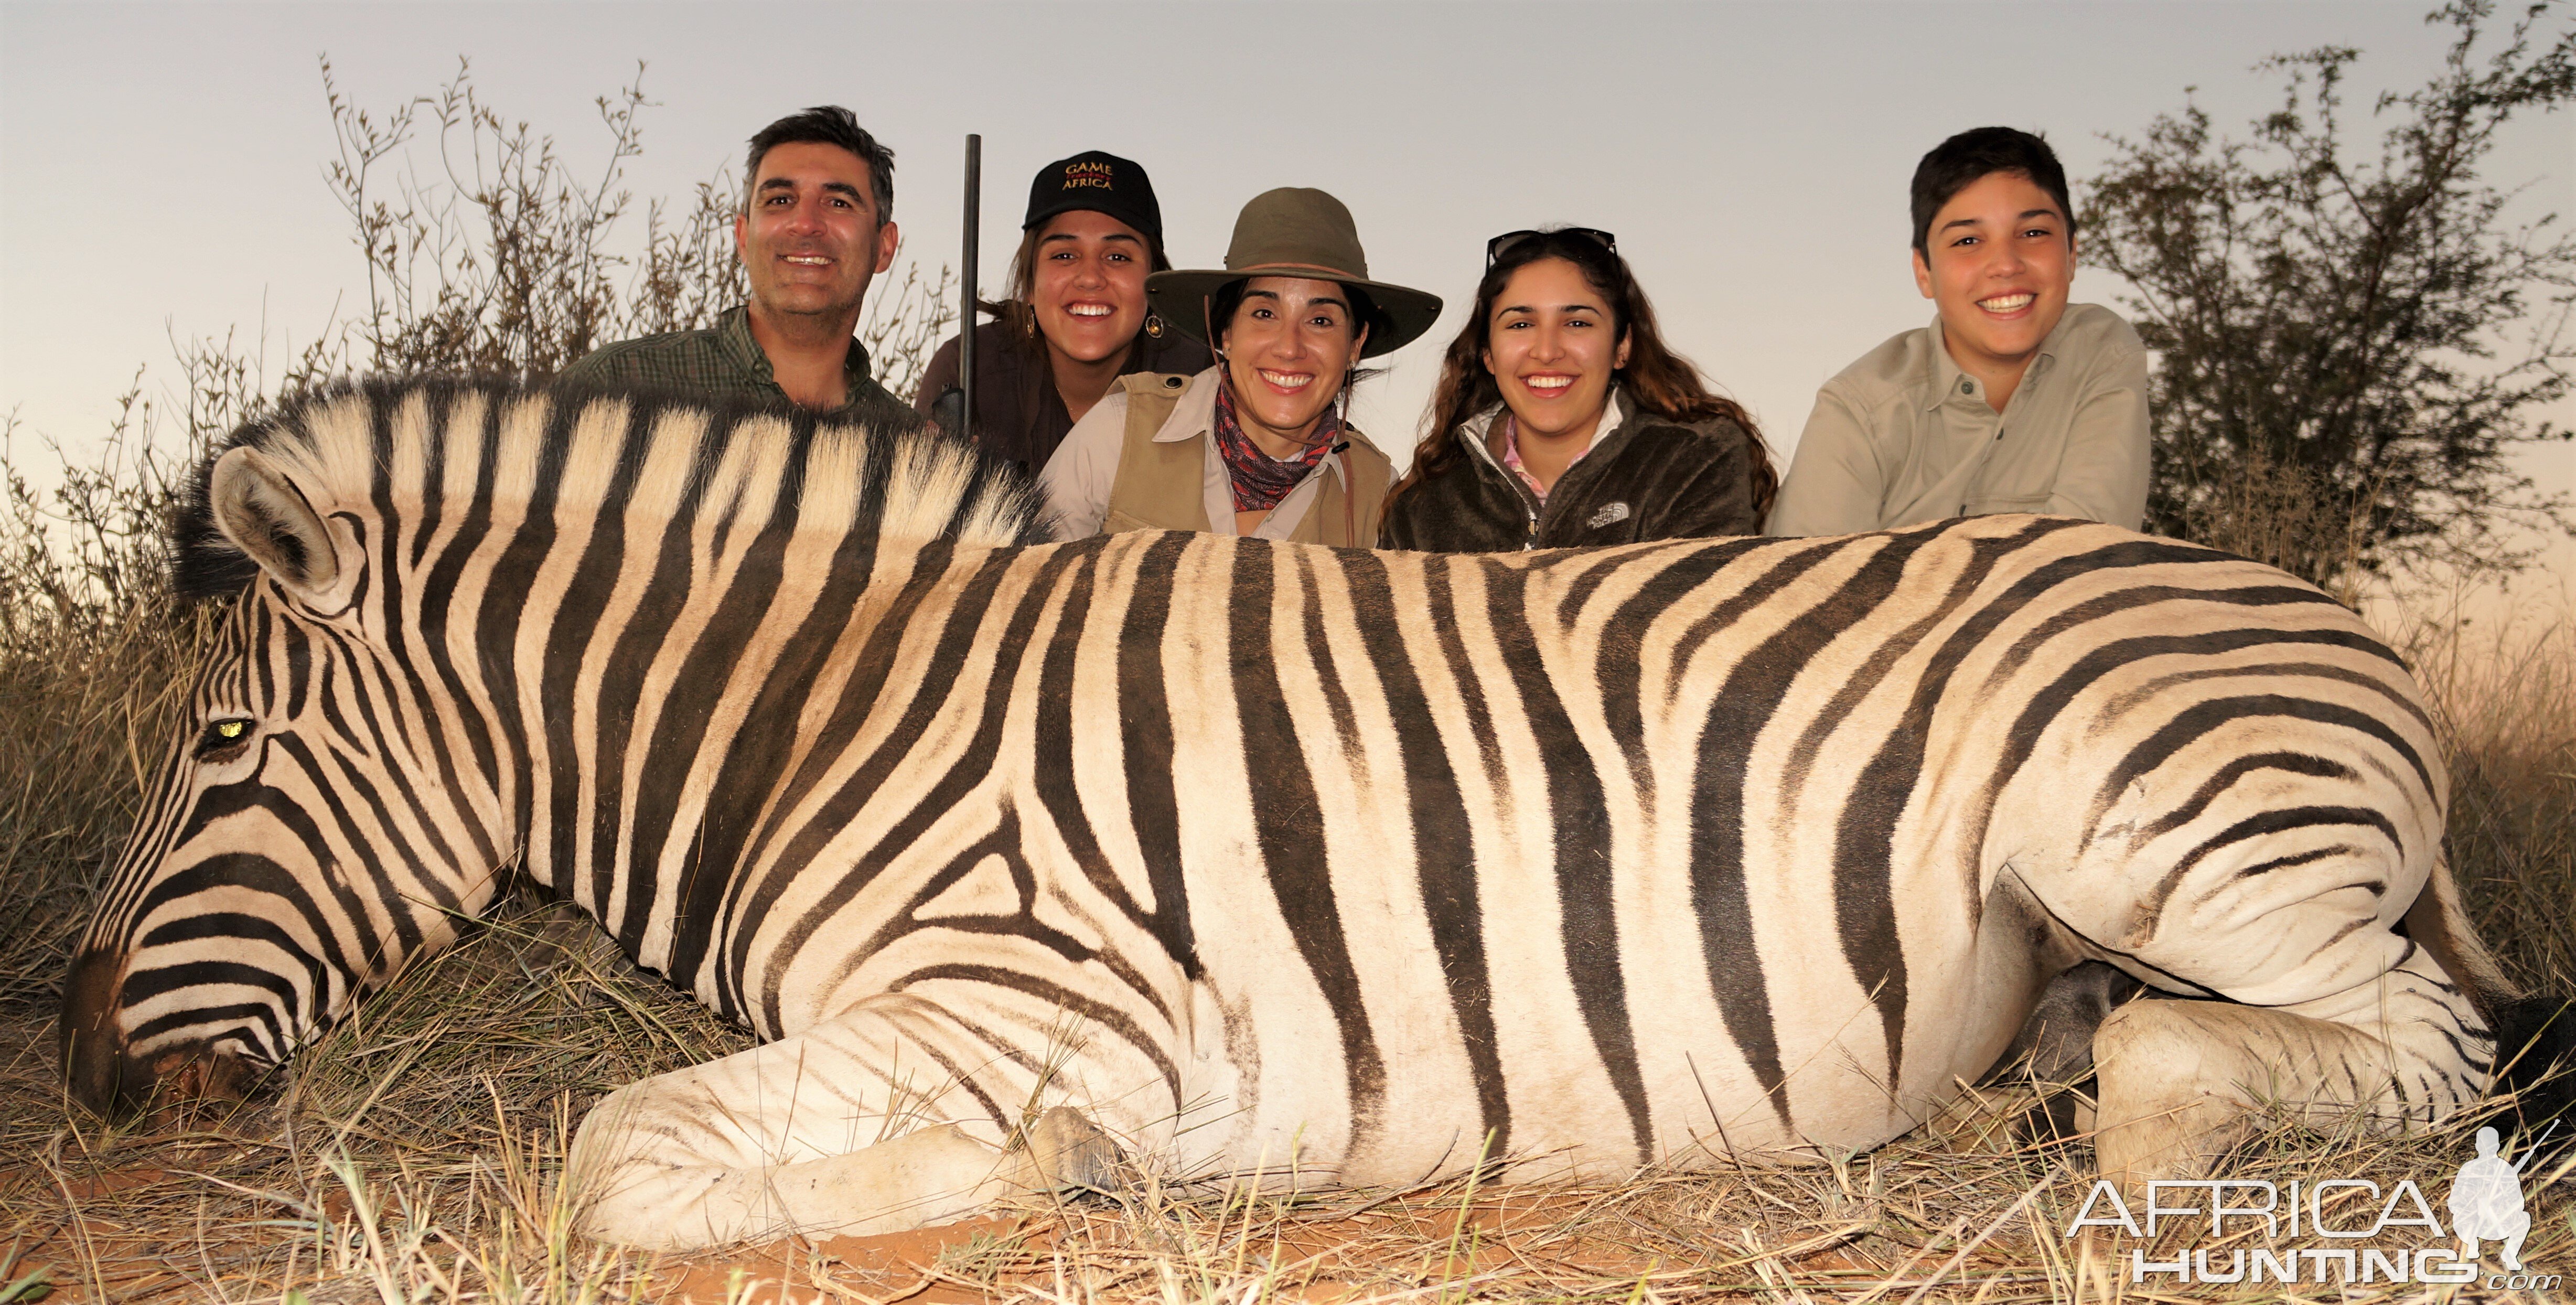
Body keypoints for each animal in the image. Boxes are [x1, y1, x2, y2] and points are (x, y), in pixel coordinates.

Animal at [55, 381, 2555, 1256]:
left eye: (222, 754)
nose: (73, 1062)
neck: (828, 717)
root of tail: (2331, 628)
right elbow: (625, 1144)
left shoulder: (1016, 1010)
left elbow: (606, 1159)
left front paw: (1049, 1179)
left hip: (2159, 839)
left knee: (2386, 1054)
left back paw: (2154, 1122)